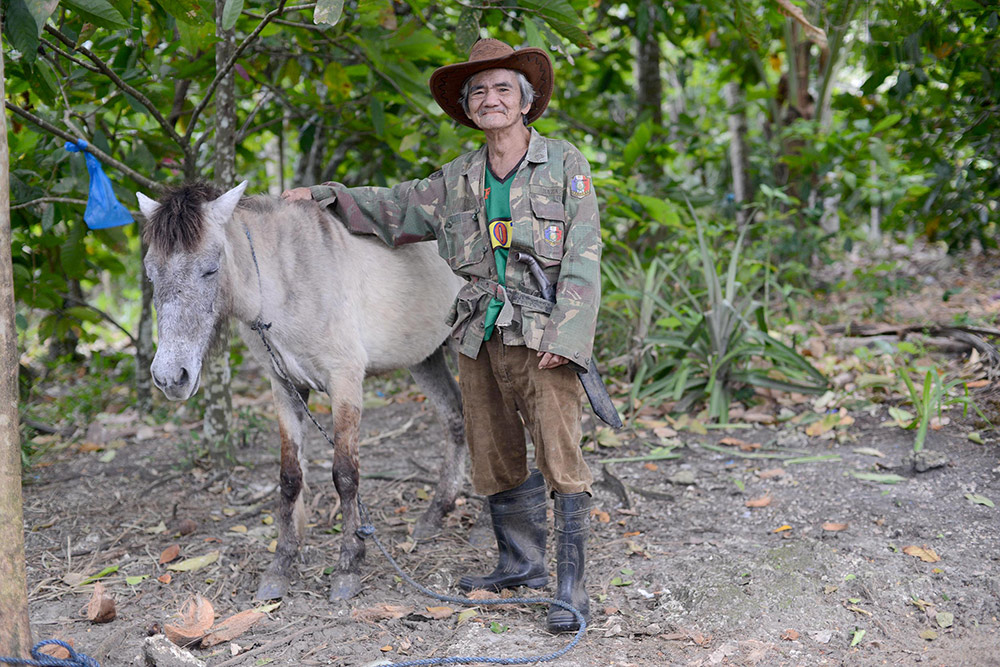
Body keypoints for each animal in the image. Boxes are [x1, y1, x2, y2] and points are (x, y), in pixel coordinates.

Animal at [137, 180, 468, 604]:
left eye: (210, 268)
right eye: (151, 274)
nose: (170, 377)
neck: (287, 282)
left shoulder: (345, 381)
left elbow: (345, 474)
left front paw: (348, 565)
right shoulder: (285, 388)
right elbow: (290, 477)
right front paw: (281, 566)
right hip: (425, 358)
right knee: (455, 419)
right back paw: (436, 513)